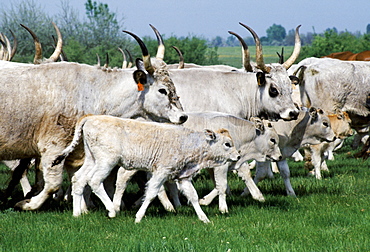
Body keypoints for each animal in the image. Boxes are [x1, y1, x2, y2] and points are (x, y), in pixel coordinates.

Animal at [51, 114, 240, 222]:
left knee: (79, 179)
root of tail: (89, 118)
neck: (186, 142)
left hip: (92, 160)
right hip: (106, 162)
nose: (238, 156)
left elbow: (193, 196)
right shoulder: (161, 172)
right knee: (95, 181)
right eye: (227, 144)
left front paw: (203, 218)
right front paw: (139, 216)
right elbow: (151, 193)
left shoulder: (183, 176)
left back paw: (77, 213)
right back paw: (112, 210)